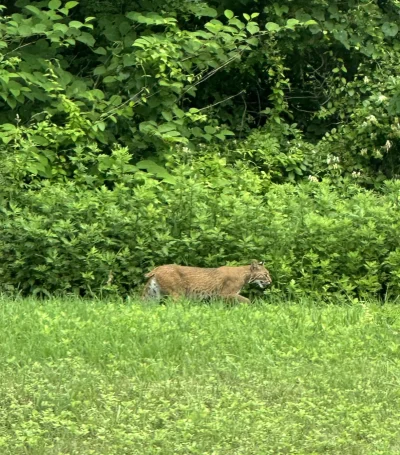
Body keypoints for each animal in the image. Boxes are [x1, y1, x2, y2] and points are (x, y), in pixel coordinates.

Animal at [141, 260, 272, 302]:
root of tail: (159, 267)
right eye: (265, 274)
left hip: (151, 295)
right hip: (177, 294)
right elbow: (246, 300)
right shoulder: (225, 293)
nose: (270, 281)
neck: (246, 274)